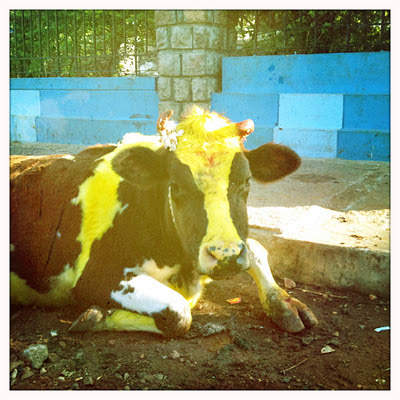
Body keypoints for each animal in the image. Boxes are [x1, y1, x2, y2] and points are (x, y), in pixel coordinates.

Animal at [10, 107, 318, 337]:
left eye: (246, 181)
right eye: (176, 186)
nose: (225, 256)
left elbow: (256, 247)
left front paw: (286, 303)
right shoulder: (93, 276)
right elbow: (180, 312)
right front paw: (95, 316)